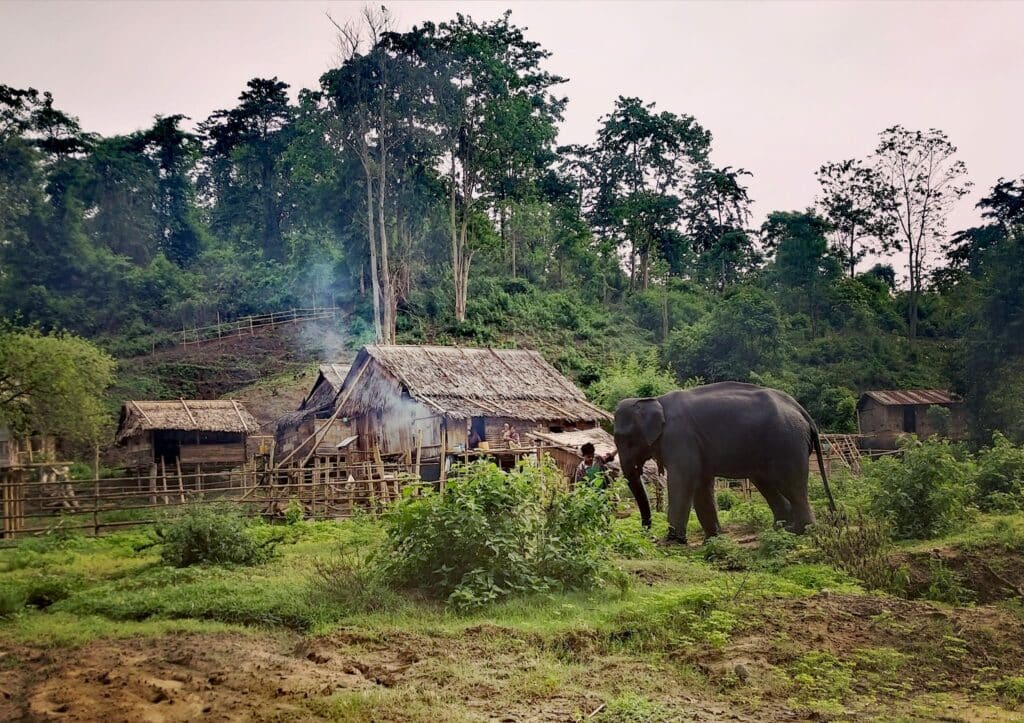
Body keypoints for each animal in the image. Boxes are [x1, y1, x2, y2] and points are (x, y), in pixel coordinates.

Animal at [610, 383, 835, 540]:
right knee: (767, 484)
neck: (654, 400)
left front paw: (673, 539)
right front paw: (714, 539)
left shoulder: (680, 438)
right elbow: (701, 484)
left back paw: (800, 531)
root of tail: (802, 411)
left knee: (792, 484)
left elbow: (683, 481)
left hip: (787, 443)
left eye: (624, 439)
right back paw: (780, 530)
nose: (649, 535)